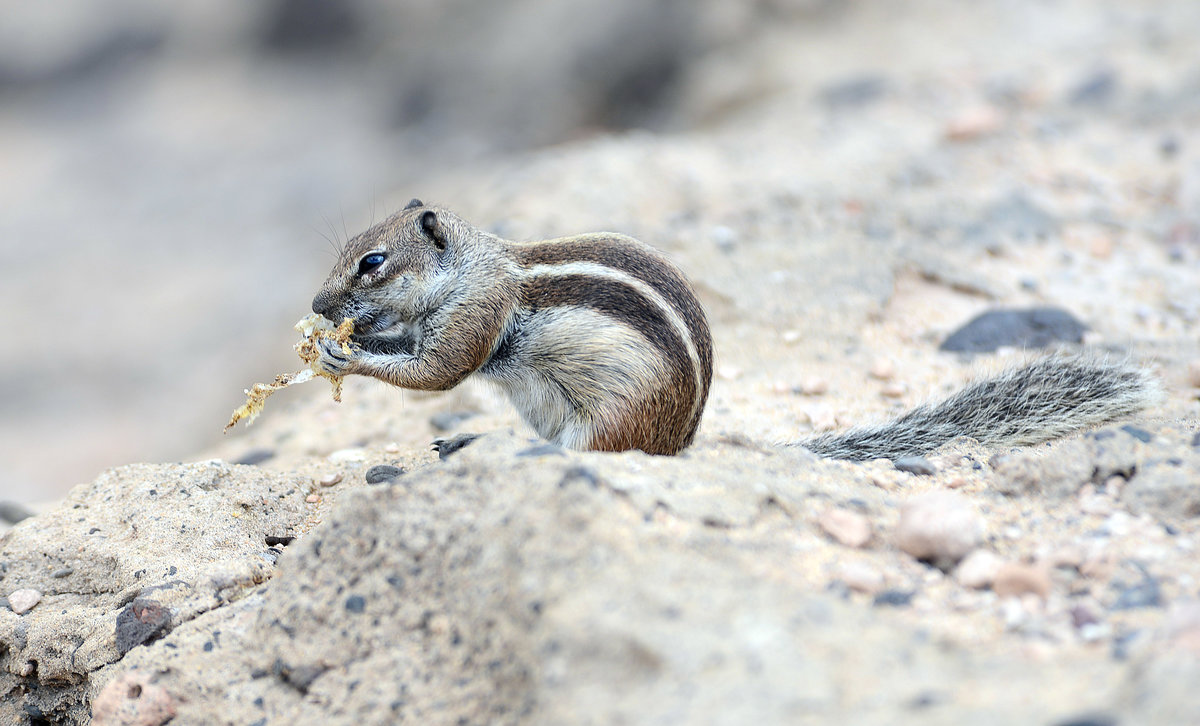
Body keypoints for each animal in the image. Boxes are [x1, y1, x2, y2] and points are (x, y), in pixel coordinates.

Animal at [312, 201, 1161, 456]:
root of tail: (680, 442)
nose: (320, 307)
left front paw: (340, 356)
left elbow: (439, 372)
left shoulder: (477, 314)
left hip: (611, 419)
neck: (474, 265)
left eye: (373, 263)